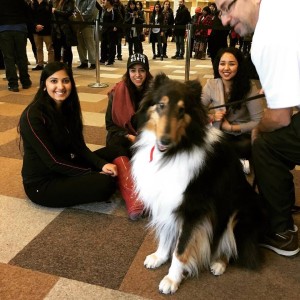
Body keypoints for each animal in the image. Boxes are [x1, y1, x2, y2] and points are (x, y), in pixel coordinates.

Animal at [131, 74, 262, 294]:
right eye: (161, 105)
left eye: (182, 110)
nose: (164, 141)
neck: (174, 152)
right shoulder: (165, 201)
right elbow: (166, 234)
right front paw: (159, 257)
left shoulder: (193, 210)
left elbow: (181, 249)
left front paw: (172, 280)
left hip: (237, 212)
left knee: (230, 243)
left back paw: (219, 263)